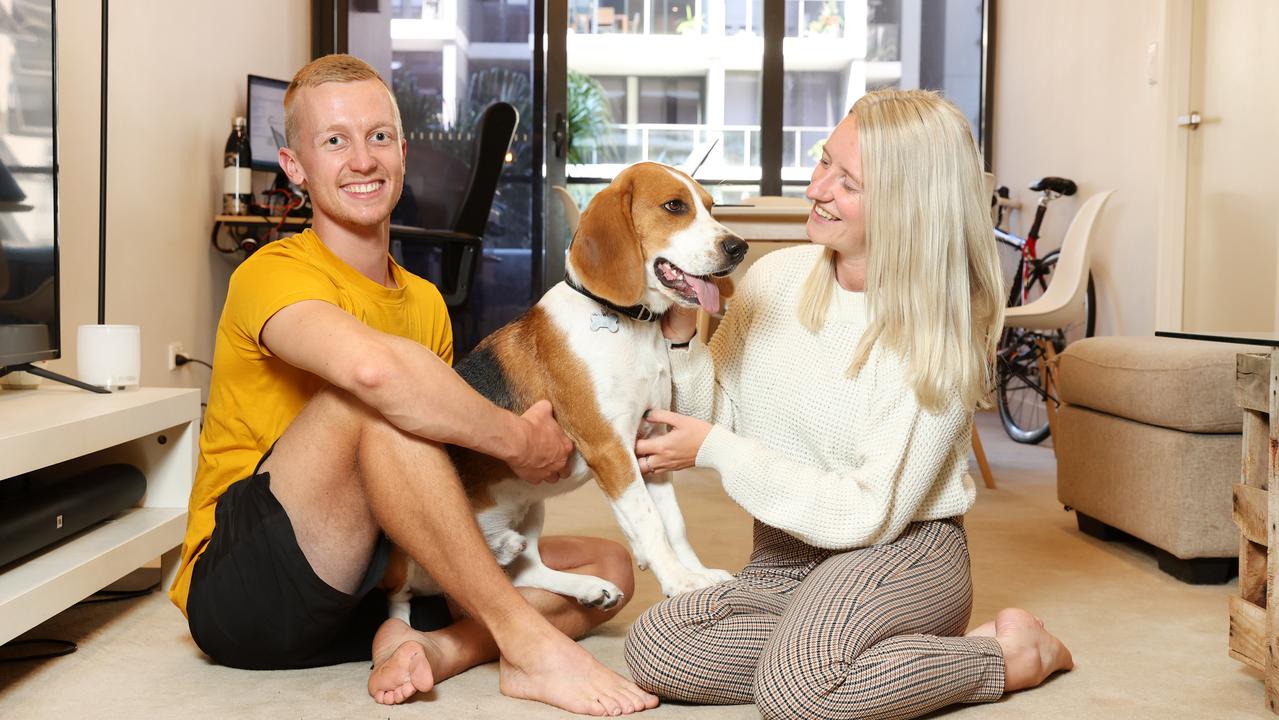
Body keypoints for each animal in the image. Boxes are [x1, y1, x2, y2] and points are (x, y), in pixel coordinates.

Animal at [386, 161, 746, 613]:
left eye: (711, 206)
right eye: (674, 206)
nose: (739, 247)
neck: (626, 324)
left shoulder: (650, 442)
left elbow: (674, 523)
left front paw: (696, 573)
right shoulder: (610, 448)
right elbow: (649, 521)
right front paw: (679, 580)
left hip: (531, 505)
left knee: (523, 574)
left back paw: (581, 584)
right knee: (405, 597)